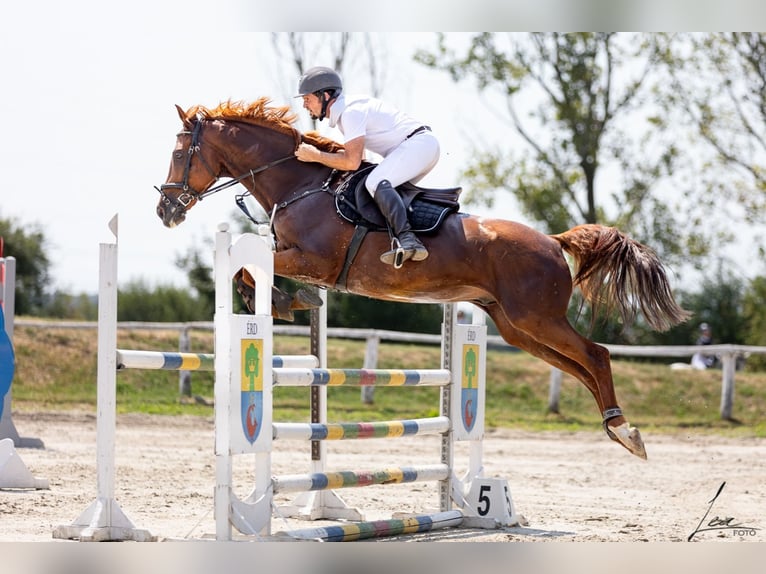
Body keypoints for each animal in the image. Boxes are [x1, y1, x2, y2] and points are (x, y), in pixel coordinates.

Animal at [158, 98, 696, 460]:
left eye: (180, 153)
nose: (165, 210)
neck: (300, 184)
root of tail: (551, 239)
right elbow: (249, 271)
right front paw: (282, 303)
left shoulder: (311, 259)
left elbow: (251, 269)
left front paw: (285, 301)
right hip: (516, 327)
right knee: (579, 367)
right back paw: (615, 427)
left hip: (536, 318)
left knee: (596, 355)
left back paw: (626, 432)